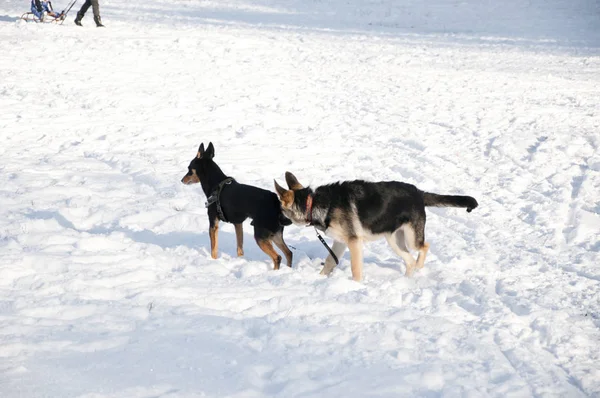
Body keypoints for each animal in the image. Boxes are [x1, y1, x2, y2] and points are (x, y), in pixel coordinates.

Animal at [274, 173, 478, 282]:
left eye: (279, 210)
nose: (274, 222)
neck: (312, 203)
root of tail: (419, 193)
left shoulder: (354, 242)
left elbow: (356, 269)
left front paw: (356, 286)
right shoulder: (341, 242)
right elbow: (330, 261)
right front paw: (320, 278)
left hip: (410, 238)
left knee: (424, 247)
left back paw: (419, 269)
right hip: (394, 239)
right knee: (409, 260)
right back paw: (407, 280)